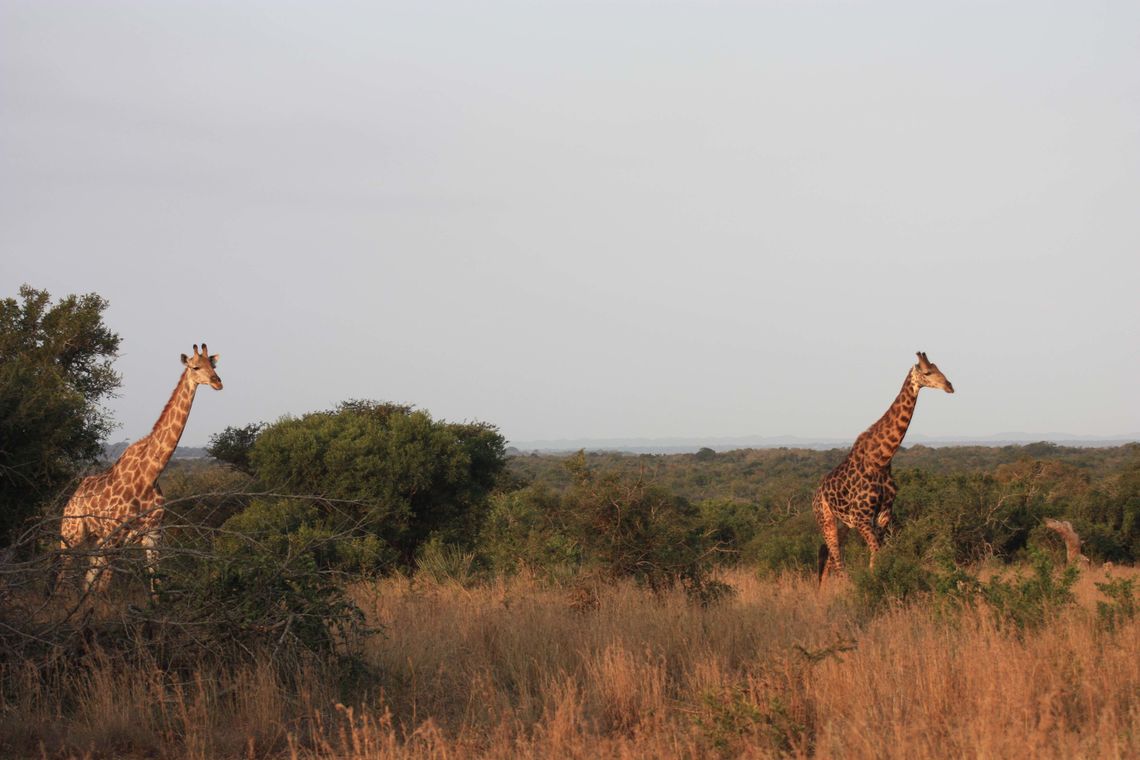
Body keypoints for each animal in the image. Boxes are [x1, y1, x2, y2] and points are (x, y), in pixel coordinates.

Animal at [57, 343, 222, 596]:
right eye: (195, 367)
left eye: (213, 365)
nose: (217, 382)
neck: (150, 474)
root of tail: (72, 499)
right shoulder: (116, 535)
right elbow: (104, 589)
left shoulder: (153, 535)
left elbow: (156, 586)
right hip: (73, 533)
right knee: (63, 577)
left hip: (96, 540)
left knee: (86, 579)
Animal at [813, 352, 954, 585]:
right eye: (927, 372)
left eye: (938, 368)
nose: (949, 386)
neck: (881, 460)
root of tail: (815, 494)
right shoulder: (861, 518)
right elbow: (876, 552)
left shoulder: (883, 516)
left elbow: (878, 555)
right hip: (826, 520)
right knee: (836, 560)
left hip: (844, 525)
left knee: (829, 561)